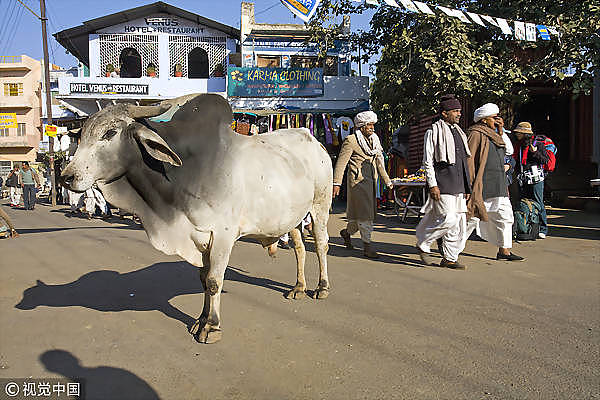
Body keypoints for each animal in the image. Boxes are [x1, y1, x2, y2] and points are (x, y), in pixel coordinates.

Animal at [61, 94, 332, 344]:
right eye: (82, 134)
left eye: (110, 132)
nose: (67, 177)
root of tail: (312, 140)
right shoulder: (198, 237)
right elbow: (203, 279)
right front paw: (200, 320)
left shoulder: (223, 236)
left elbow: (213, 280)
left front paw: (211, 327)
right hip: (291, 217)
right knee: (299, 247)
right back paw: (299, 287)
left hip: (320, 206)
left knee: (321, 244)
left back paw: (321, 287)